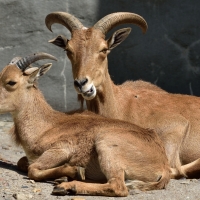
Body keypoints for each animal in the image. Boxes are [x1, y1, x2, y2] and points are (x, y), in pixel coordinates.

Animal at [0, 52, 170, 197]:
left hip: (107, 144)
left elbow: (33, 169)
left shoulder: (61, 149)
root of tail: (163, 166)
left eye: (11, 82)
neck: (46, 126)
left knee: (117, 187)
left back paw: (68, 186)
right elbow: (22, 162)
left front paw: (74, 171)